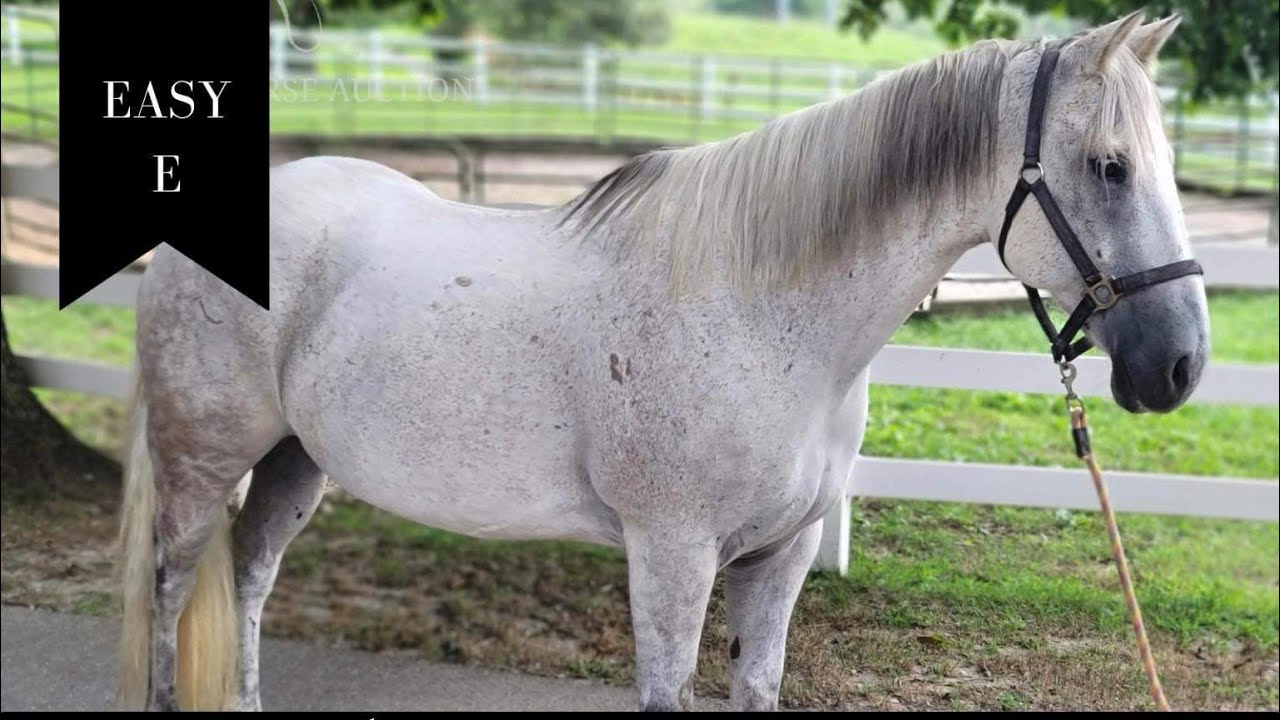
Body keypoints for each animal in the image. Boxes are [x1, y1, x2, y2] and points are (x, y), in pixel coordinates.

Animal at [117, 12, 1207, 711]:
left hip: (295, 461)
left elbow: (757, 687)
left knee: (249, 583)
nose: (1182, 367)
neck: (766, 316)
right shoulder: (672, 555)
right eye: (1109, 166)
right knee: (174, 592)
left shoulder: (780, 558)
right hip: (202, 459)